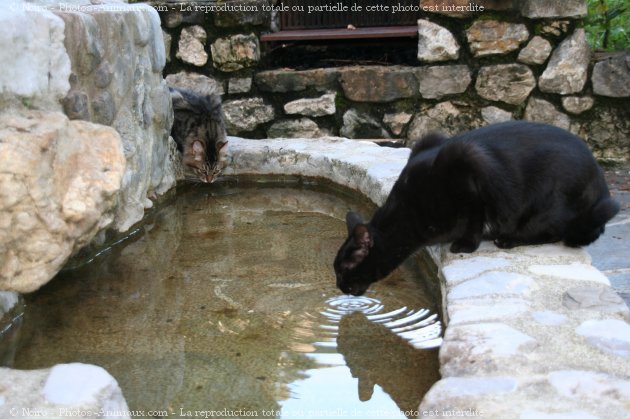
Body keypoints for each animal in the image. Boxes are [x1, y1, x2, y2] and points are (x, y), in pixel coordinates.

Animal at [336, 120, 624, 296]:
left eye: (343, 270)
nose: (338, 286)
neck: (408, 214)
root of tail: (600, 181)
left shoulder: (467, 164)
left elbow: (474, 215)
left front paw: (466, 244)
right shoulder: (430, 140)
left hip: (549, 198)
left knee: (554, 232)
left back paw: (508, 239)